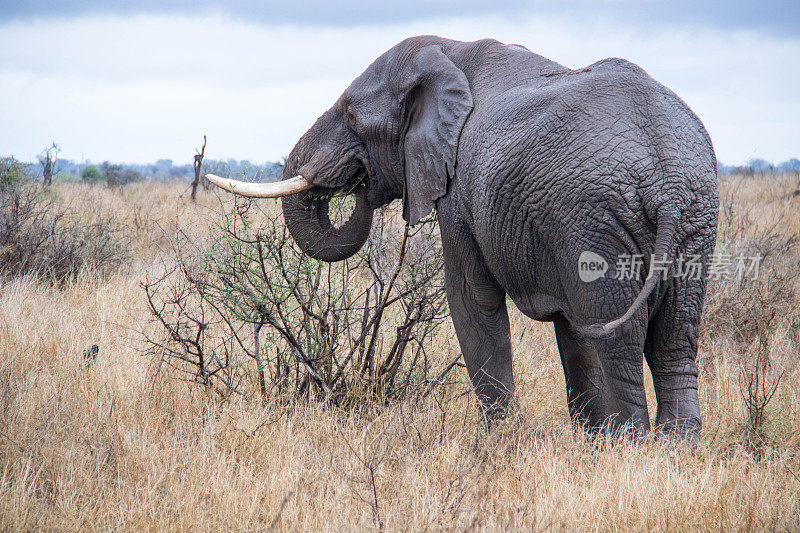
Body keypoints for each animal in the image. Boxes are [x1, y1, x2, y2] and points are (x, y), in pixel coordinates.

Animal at [206, 34, 720, 440]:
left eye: (351, 114)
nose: (358, 181)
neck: (448, 51)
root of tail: (668, 177)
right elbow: (569, 326)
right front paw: (587, 440)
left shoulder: (461, 192)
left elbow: (471, 297)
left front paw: (499, 444)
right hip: (693, 223)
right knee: (675, 337)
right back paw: (675, 450)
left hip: (602, 219)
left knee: (621, 338)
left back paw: (630, 449)